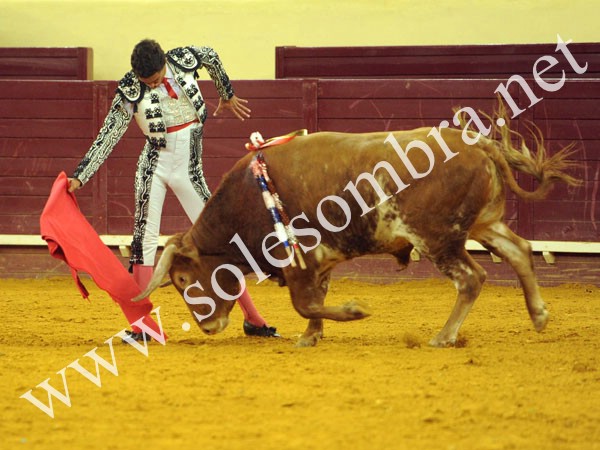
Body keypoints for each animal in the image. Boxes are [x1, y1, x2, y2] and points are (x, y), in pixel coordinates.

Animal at [133, 104, 579, 347]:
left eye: (183, 280)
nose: (209, 327)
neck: (248, 196)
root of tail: (479, 143)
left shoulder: (297, 258)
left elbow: (305, 302)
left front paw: (354, 311)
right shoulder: (318, 260)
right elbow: (314, 300)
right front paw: (311, 336)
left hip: (439, 238)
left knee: (472, 279)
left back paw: (443, 336)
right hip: (482, 224)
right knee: (519, 250)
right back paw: (539, 315)